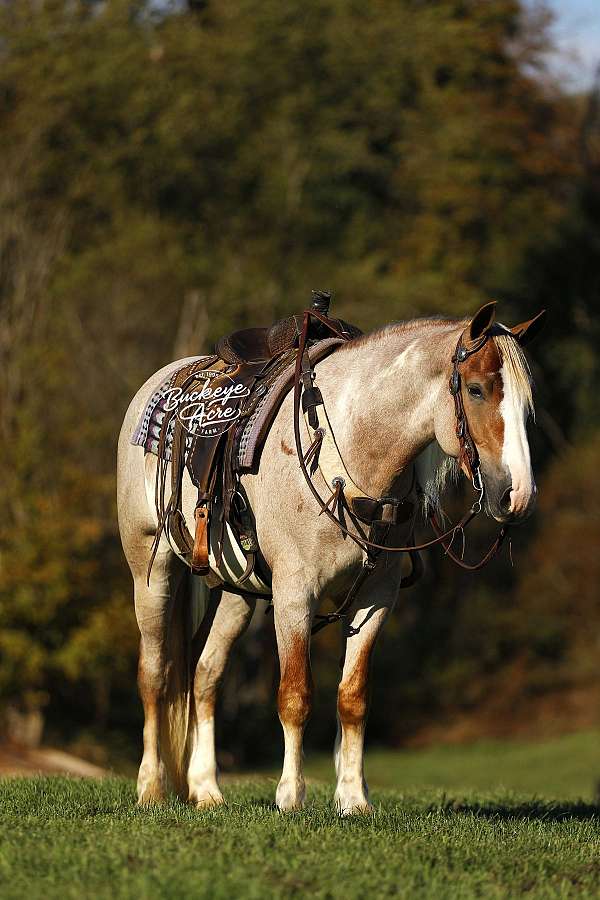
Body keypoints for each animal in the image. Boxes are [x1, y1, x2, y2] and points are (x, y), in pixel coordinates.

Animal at [117, 301, 544, 814]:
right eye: (476, 389)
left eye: (526, 403)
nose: (517, 496)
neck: (351, 456)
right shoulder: (294, 594)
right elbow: (295, 695)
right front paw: (291, 795)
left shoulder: (376, 598)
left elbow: (352, 697)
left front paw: (353, 798)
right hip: (151, 570)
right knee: (155, 675)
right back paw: (150, 787)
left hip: (238, 592)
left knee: (205, 675)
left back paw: (206, 789)